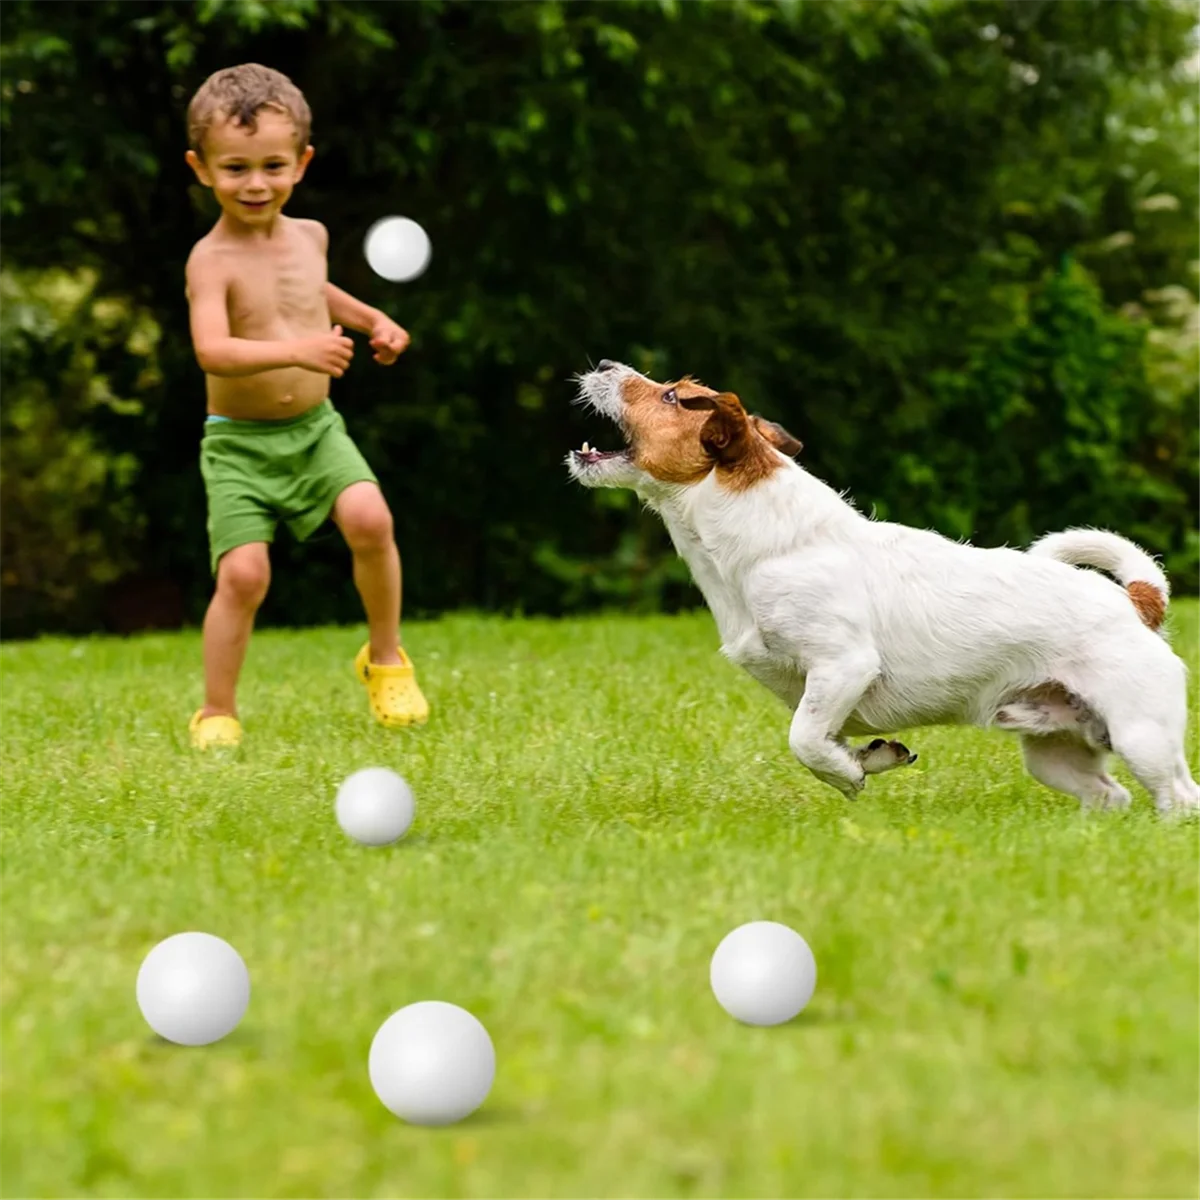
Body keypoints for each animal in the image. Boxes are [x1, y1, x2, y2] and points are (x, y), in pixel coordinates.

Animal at [564, 362, 1200, 816]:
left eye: (672, 396)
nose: (603, 362)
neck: (766, 541)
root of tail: (1137, 602)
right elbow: (826, 738)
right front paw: (872, 759)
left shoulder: (842, 665)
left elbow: (804, 740)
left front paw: (850, 773)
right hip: (1054, 750)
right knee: (1110, 795)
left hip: (1142, 735)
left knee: (1178, 797)